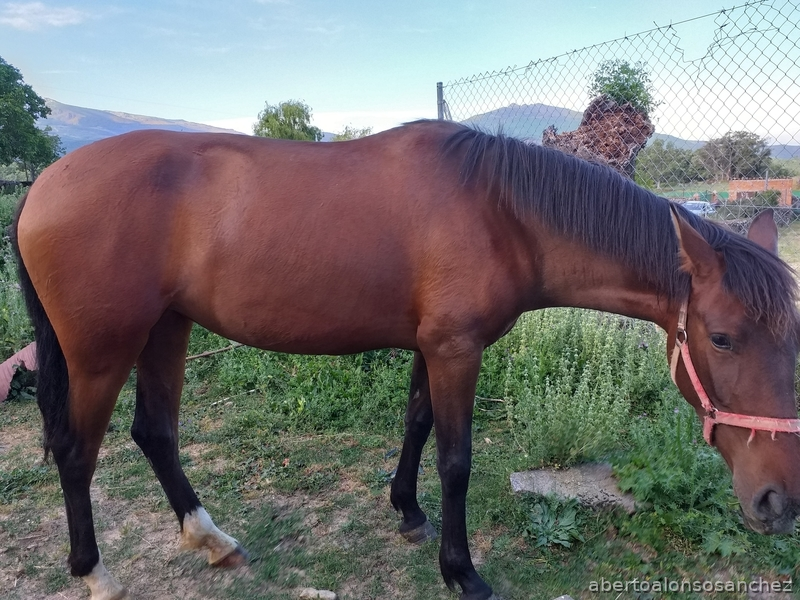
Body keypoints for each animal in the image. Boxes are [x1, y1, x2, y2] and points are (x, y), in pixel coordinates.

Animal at [12, 119, 800, 600]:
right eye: (722, 338)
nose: (778, 501)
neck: (501, 210)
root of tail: (44, 182)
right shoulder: (455, 349)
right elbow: (456, 459)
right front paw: (461, 571)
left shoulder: (431, 345)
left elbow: (417, 427)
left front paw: (407, 511)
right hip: (101, 352)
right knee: (77, 452)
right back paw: (95, 573)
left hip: (166, 331)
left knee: (155, 434)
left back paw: (213, 541)